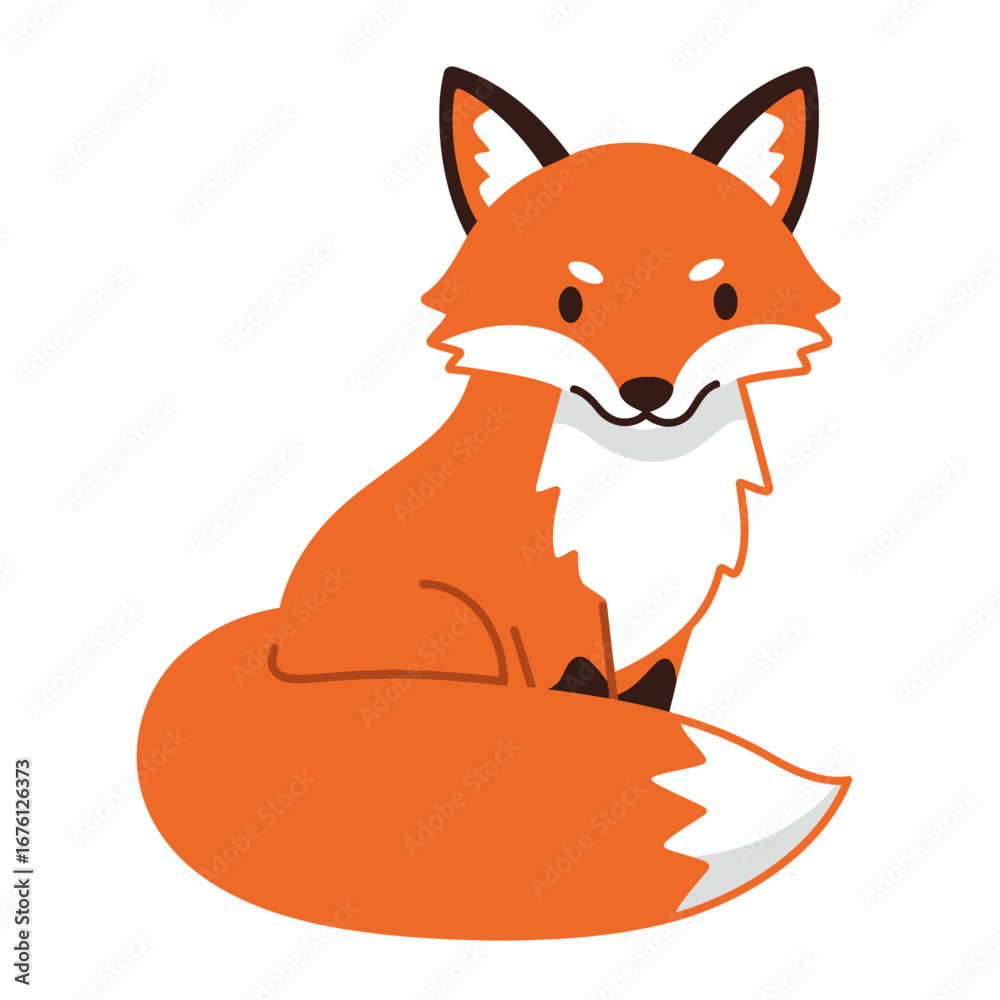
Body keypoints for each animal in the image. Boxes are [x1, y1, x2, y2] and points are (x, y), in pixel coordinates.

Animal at [138, 67, 847, 940]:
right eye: (569, 304)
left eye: (723, 300)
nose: (646, 392)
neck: (631, 498)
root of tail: (277, 643)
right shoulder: (548, 615)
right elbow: (588, 712)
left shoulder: (668, 631)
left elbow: (650, 712)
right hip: (455, 629)